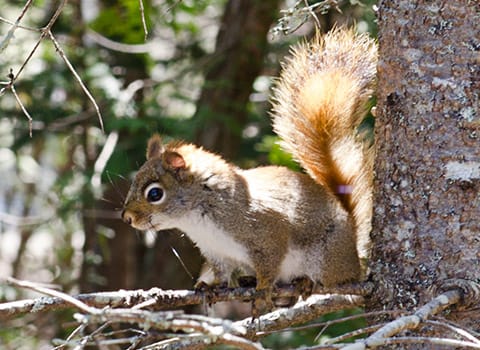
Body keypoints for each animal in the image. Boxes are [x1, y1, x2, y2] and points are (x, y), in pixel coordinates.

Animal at [122, 27, 376, 308]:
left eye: (155, 194)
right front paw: (210, 286)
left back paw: (305, 282)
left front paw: (263, 290)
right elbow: (221, 273)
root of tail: (353, 248)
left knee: (331, 279)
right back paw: (246, 280)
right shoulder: (216, 251)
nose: (127, 218)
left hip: (326, 257)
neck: (198, 217)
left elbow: (270, 264)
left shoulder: (268, 232)